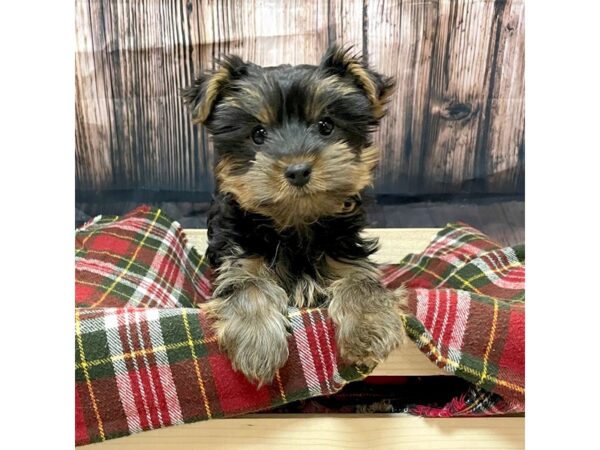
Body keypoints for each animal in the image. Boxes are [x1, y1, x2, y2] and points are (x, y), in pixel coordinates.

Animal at [183, 45, 406, 386]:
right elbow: (247, 287)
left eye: (326, 126)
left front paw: (370, 330)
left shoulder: (348, 257)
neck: (294, 224)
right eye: (258, 134)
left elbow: (363, 283)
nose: (298, 170)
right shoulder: (238, 261)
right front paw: (257, 344)